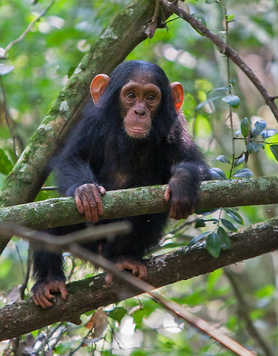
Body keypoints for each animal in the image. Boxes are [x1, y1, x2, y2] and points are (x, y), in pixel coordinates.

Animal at [32, 59, 211, 308]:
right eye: (131, 95)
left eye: (150, 97)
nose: (140, 111)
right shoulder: (92, 122)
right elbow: (73, 158)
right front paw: (86, 191)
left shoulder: (176, 127)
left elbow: (196, 165)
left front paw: (182, 185)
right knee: (47, 223)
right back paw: (49, 281)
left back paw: (125, 258)